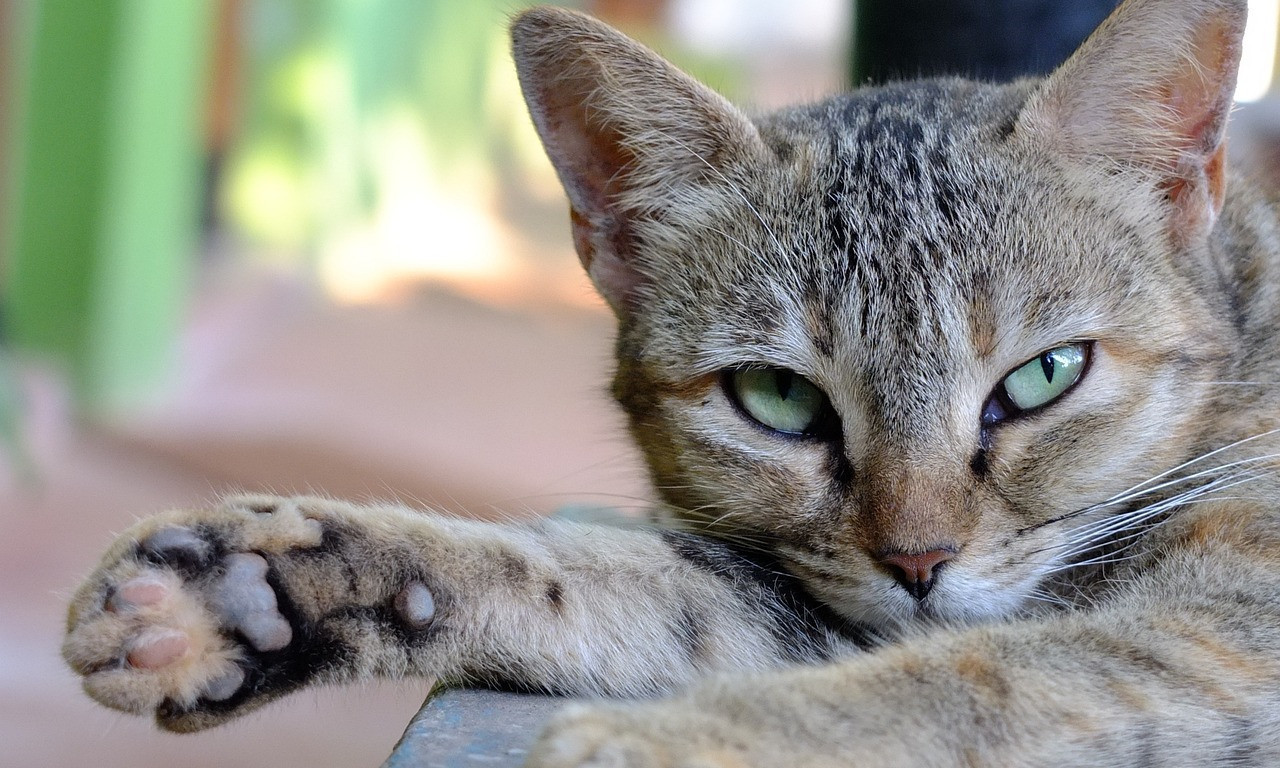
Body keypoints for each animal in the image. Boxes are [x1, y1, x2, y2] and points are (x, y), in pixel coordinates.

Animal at [62, 0, 1280, 762]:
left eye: (1041, 377)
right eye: (780, 401)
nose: (918, 562)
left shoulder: (1232, 622)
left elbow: (982, 680)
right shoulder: (818, 597)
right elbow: (618, 584)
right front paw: (262, 587)